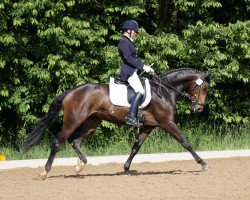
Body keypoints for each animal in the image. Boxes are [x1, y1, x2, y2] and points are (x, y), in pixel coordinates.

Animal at [22, 68, 212, 180]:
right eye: (203, 88)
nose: (198, 108)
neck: (164, 91)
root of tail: (70, 92)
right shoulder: (167, 123)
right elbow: (186, 143)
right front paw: (203, 164)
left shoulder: (147, 127)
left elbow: (135, 148)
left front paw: (126, 169)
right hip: (73, 121)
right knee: (58, 143)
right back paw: (45, 172)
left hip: (92, 122)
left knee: (73, 140)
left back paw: (80, 166)